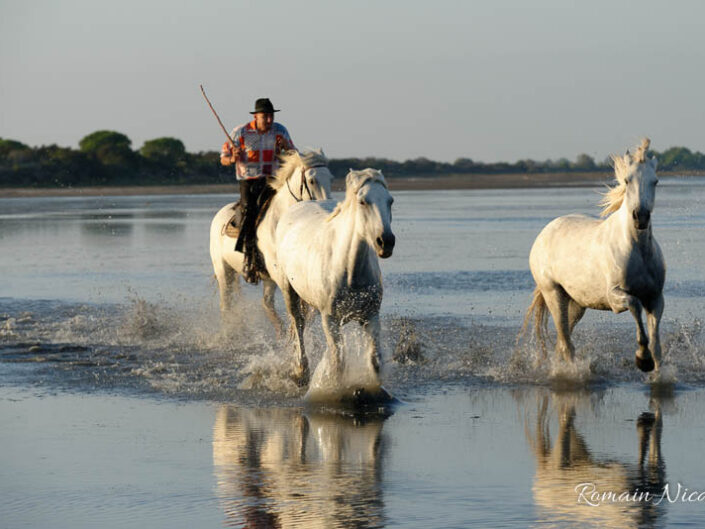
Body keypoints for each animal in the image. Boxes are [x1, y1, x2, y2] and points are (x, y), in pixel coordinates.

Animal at [208, 148, 332, 332]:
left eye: (330, 178)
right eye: (312, 180)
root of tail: (220, 214)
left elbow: (308, 312)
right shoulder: (282, 276)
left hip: (267, 279)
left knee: (266, 304)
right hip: (224, 270)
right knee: (227, 305)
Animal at [270, 168, 394, 384]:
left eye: (390, 201)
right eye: (363, 201)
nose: (386, 241)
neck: (349, 271)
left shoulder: (371, 315)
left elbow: (375, 360)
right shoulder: (330, 320)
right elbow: (338, 363)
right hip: (289, 291)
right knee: (298, 323)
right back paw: (301, 370)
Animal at [524, 138, 664, 374]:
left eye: (655, 181)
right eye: (627, 180)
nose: (641, 217)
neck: (638, 250)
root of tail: (543, 235)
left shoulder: (655, 298)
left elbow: (656, 344)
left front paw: (655, 369)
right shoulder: (615, 296)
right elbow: (635, 305)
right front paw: (642, 359)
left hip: (576, 303)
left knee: (563, 341)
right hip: (553, 294)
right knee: (566, 343)